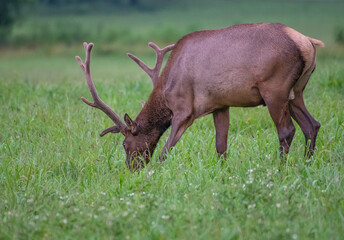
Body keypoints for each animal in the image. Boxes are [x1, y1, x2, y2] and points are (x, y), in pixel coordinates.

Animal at [76, 22, 324, 169]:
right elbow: (221, 146)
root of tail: (308, 42)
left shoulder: (184, 108)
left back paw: (280, 168)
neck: (167, 86)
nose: (131, 168)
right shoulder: (220, 105)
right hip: (296, 91)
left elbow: (165, 150)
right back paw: (307, 163)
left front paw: (158, 171)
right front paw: (222, 172)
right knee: (312, 124)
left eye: (125, 144)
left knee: (287, 130)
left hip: (275, 88)